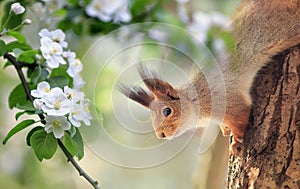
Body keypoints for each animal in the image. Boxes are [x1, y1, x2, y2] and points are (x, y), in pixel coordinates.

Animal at [118, 0, 298, 155]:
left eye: (167, 111)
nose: (160, 134)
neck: (195, 100)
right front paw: (225, 130)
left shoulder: (226, 100)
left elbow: (241, 116)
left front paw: (236, 140)